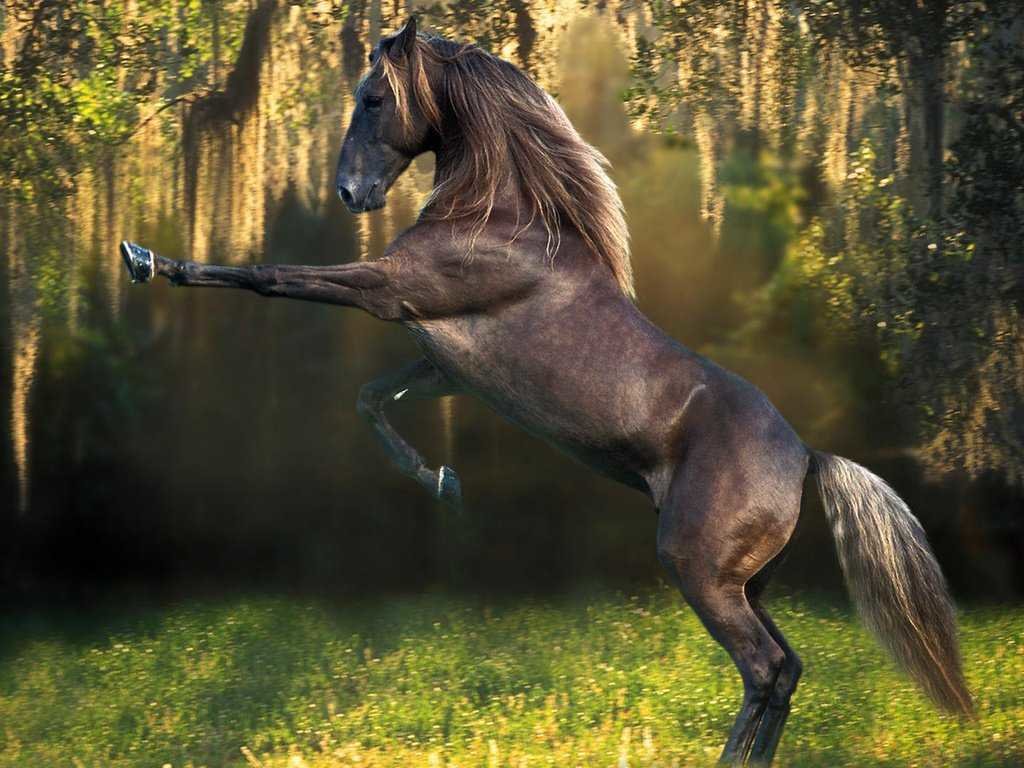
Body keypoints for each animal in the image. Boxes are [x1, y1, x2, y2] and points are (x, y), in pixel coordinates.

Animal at [119, 17, 973, 765]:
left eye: (373, 98)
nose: (349, 192)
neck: (500, 218)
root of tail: (807, 458)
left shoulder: (389, 292)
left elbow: (269, 276)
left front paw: (147, 259)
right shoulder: (443, 363)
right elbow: (371, 398)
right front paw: (443, 481)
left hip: (700, 570)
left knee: (763, 669)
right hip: (746, 581)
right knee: (787, 670)